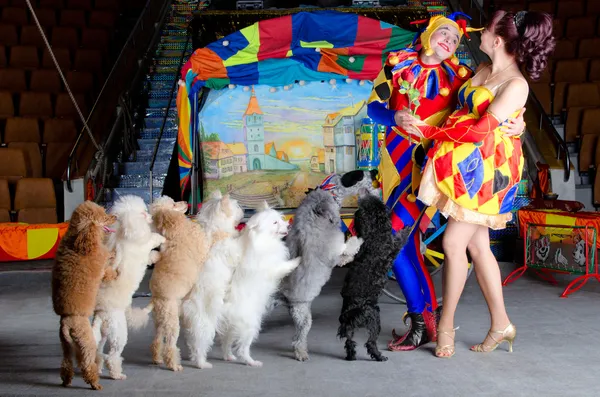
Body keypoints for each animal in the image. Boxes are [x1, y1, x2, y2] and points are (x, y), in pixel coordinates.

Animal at [52, 201, 118, 390]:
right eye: (103, 216)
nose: (115, 216)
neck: (78, 238)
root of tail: (68, 322)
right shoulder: (102, 268)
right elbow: (108, 267)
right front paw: (114, 260)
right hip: (87, 342)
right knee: (87, 365)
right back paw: (95, 384)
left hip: (66, 345)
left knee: (66, 364)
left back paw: (66, 381)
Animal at [91, 195, 164, 380]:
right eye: (144, 213)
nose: (151, 217)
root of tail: (101, 313)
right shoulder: (143, 244)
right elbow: (152, 238)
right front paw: (161, 238)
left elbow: (150, 255)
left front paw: (156, 256)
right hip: (118, 332)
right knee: (113, 356)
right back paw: (117, 374)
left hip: (104, 333)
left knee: (99, 352)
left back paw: (99, 368)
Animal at [180, 189, 244, 368]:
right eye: (237, 206)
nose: (244, 210)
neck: (215, 228)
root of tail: (187, 307)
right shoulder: (231, 250)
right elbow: (237, 249)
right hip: (205, 326)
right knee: (199, 346)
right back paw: (202, 363)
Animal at [218, 203, 300, 366]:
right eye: (275, 223)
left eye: (281, 219)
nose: (288, 225)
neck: (264, 239)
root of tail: (227, 308)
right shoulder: (274, 267)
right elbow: (285, 265)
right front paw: (297, 260)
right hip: (251, 326)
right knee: (242, 348)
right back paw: (251, 361)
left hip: (232, 328)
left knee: (226, 342)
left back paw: (228, 356)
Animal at [338, 190, 408, 360]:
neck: (373, 235)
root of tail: (353, 314)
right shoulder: (392, 249)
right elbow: (400, 239)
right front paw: (407, 229)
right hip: (375, 318)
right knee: (370, 343)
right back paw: (379, 356)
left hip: (349, 329)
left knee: (349, 342)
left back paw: (351, 355)